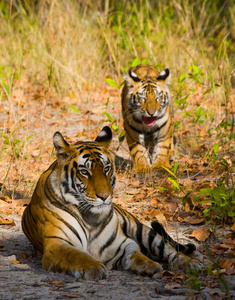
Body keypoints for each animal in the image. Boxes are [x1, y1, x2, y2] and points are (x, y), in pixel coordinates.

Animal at [21, 126, 203, 278]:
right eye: (84, 172)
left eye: (106, 169)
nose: (104, 196)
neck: (90, 218)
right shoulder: (57, 243)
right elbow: (77, 255)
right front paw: (94, 267)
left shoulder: (122, 243)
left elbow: (135, 254)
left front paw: (149, 265)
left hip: (143, 231)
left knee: (171, 249)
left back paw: (192, 263)